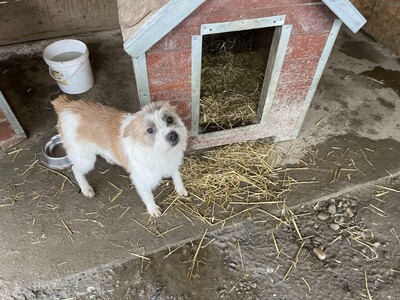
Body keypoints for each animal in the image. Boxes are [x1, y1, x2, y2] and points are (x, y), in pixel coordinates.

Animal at [51, 95, 188, 217]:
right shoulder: (140, 180)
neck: (159, 151)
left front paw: (181, 190)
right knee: (75, 169)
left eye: (169, 119)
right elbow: (147, 195)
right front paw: (153, 209)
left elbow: (177, 178)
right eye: (150, 130)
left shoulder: (173, 164)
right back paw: (86, 189)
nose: (173, 135)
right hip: (86, 159)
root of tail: (65, 106)